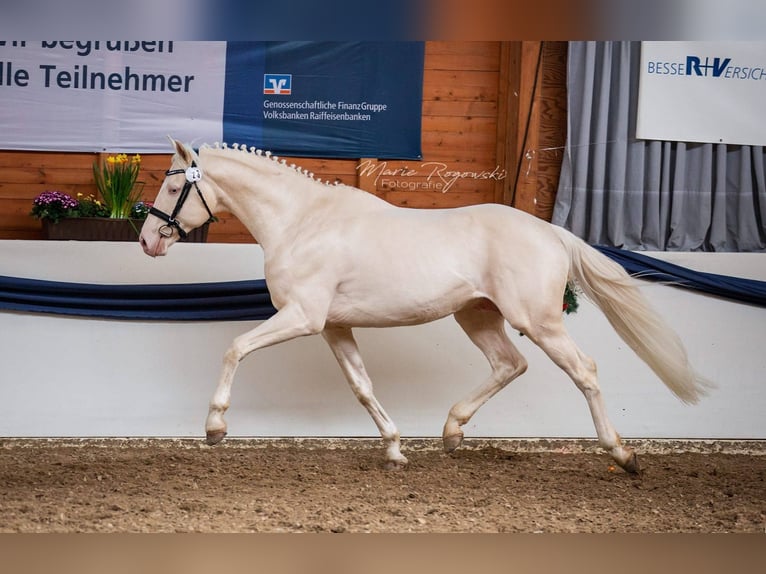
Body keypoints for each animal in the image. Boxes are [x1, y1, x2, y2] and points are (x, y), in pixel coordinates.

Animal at [139, 138, 712, 474]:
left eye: (170, 184)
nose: (146, 241)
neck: (303, 221)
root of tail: (549, 231)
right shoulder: (333, 327)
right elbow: (362, 386)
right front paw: (395, 448)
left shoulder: (302, 318)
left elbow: (236, 348)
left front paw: (215, 427)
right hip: (476, 315)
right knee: (510, 364)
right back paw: (452, 432)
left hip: (538, 321)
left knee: (584, 371)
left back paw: (623, 454)